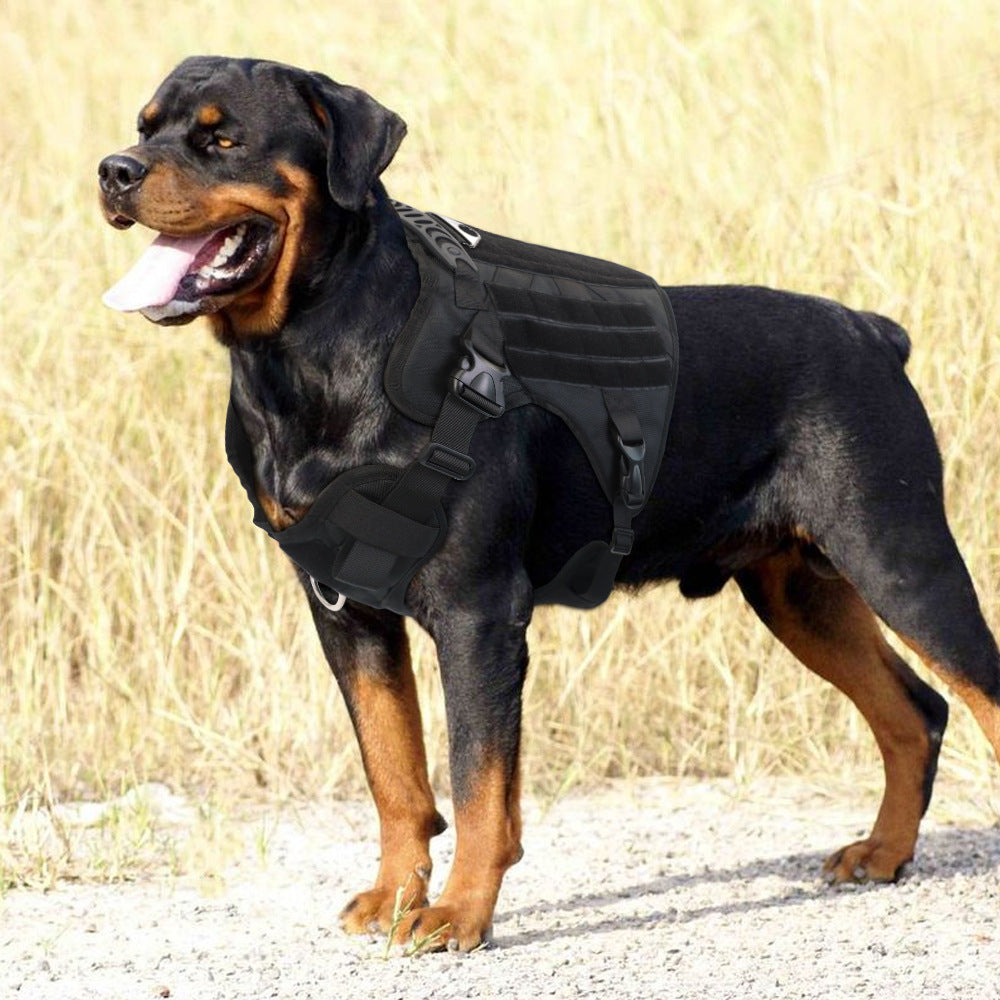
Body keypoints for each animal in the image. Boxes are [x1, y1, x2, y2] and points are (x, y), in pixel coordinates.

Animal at [99, 56, 1000, 952]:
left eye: (223, 139)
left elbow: (475, 781)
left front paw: (457, 913)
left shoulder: (477, 612)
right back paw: (882, 852)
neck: (312, 353)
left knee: (974, 691)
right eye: (144, 127)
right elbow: (394, 771)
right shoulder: (348, 613)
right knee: (914, 711)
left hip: (899, 556)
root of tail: (875, 333)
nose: (114, 171)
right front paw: (395, 896)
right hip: (797, 591)